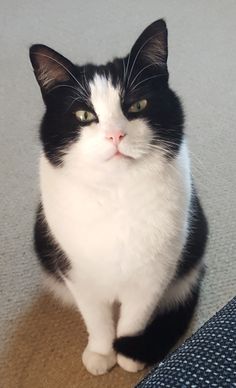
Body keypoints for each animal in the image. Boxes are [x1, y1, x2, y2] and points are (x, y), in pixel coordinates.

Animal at [30, 19, 208, 374]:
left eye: (138, 105)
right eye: (85, 115)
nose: (116, 135)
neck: (117, 194)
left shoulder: (154, 274)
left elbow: (134, 318)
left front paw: (127, 354)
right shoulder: (78, 273)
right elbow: (96, 318)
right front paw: (101, 353)